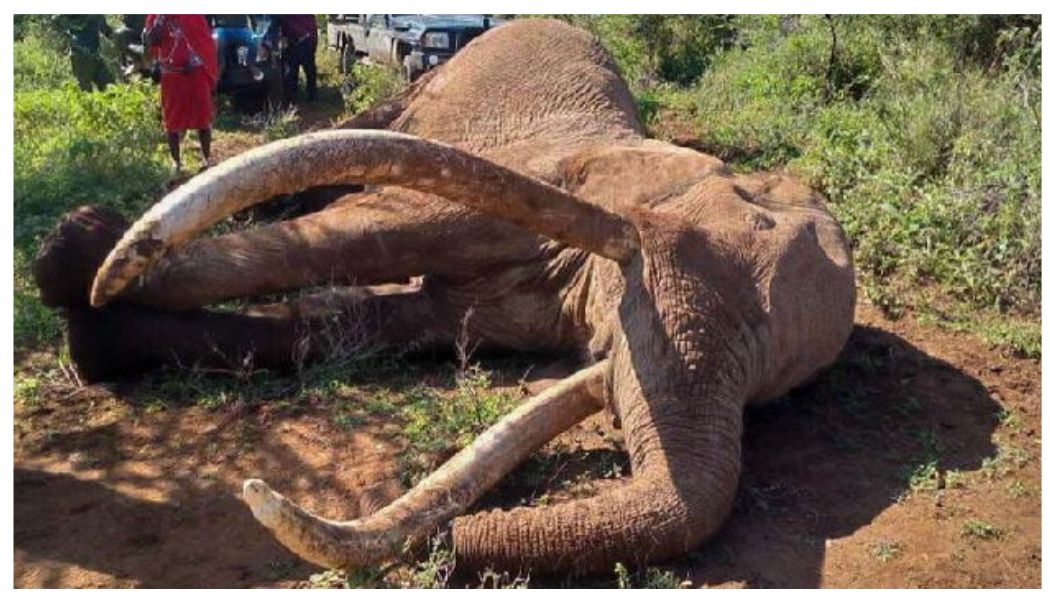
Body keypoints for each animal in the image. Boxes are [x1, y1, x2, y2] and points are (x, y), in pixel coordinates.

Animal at [32, 19, 855, 575]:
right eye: (746, 215)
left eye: (773, 389)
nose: (454, 543)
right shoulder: (539, 173)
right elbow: (367, 231)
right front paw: (80, 265)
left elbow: (365, 323)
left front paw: (95, 337)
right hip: (434, 78)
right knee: (362, 134)